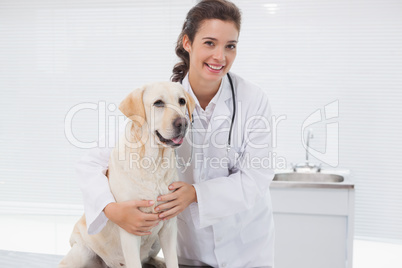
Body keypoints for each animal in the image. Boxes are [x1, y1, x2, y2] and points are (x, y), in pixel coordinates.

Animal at [59, 81, 196, 268]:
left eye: (182, 101)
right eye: (158, 103)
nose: (183, 123)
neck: (153, 163)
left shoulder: (169, 226)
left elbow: (173, 261)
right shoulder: (130, 228)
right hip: (82, 251)